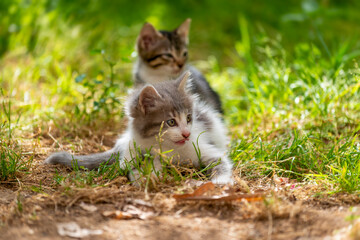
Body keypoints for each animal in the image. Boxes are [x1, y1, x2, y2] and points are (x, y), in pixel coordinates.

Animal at [45, 72, 232, 185]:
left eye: (188, 118)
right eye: (171, 122)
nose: (186, 134)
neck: (168, 149)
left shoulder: (204, 149)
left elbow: (221, 163)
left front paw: (221, 182)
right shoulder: (141, 150)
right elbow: (136, 167)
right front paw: (145, 178)